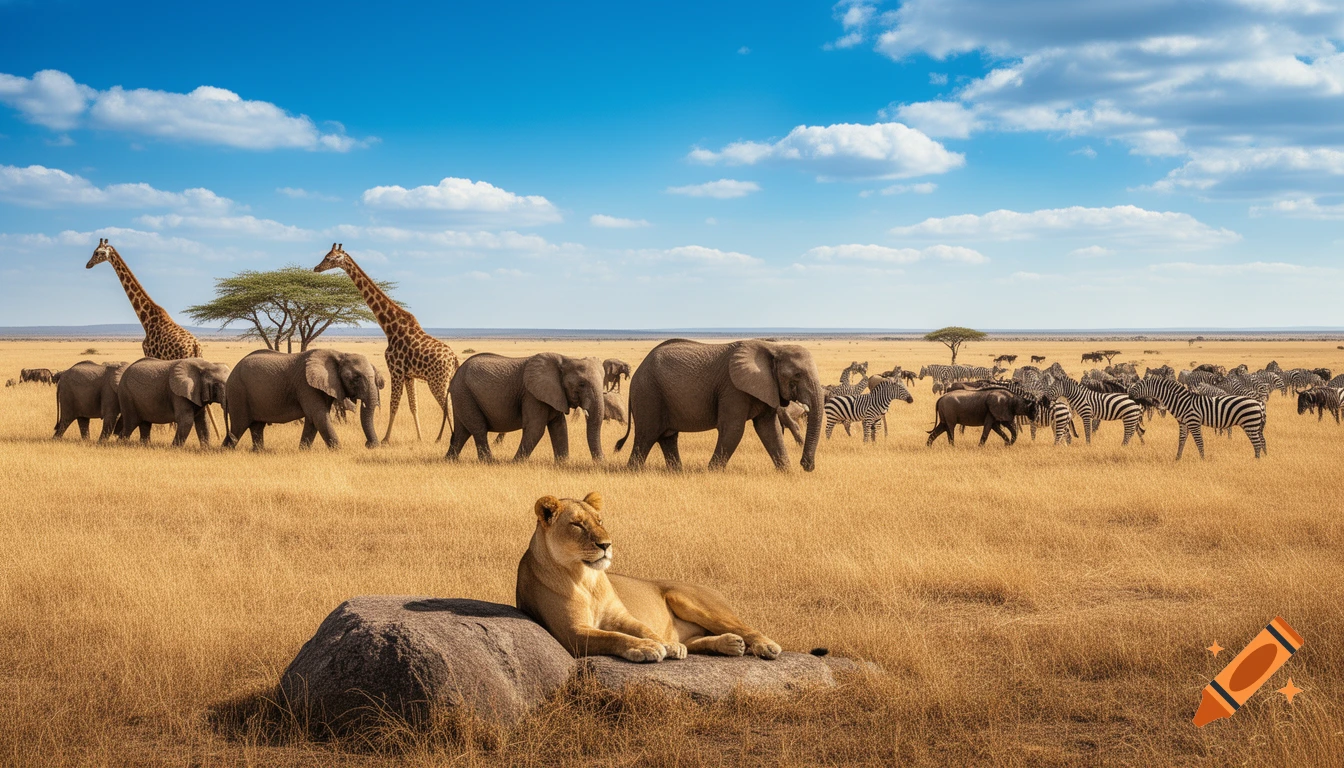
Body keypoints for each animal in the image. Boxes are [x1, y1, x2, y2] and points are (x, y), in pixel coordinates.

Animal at [222, 349, 384, 450]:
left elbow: (313, 420)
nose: (369, 445)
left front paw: (303, 451)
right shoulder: (307, 385)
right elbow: (319, 417)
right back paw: (226, 450)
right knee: (238, 426)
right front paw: (339, 451)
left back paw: (258, 452)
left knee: (256, 427)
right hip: (238, 393)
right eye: (356, 378)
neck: (339, 354)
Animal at [446, 352, 605, 463]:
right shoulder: (531, 395)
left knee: (462, 431)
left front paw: (562, 464)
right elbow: (535, 429)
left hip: (462, 395)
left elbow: (559, 427)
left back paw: (449, 460)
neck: (564, 358)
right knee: (478, 429)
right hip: (464, 393)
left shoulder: (555, 394)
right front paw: (515, 463)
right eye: (581, 384)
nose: (601, 462)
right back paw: (490, 462)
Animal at [516, 492, 782, 663]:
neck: (586, 577)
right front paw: (646, 647)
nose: (606, 544)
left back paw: (765, 646)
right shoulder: (572, 632)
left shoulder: (621, 616)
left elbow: (643, 628)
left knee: (744, 627)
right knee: (699, 640)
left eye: (599, 521)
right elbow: (612, 637)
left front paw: (666, 645)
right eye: (577, 525)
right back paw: (729, 644)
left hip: (694, 602)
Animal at [615, 339, 823, 472]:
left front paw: (787, 472)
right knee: (646, 436)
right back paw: (633, 471)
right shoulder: (733, 389)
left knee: (667, 437)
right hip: (648, 394)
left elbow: (769, 430)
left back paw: (677, 472)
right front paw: (711, 472)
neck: (774, 348)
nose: (806, 465)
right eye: (797, 375)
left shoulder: (768, 387)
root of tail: (638, 371)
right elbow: (733, 430)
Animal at [1128, 376, 1266, 459]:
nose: (1129, 396)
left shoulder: (1193, 422)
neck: (1182, 402)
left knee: (1257, 443)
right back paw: (1263, 458)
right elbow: (1181, 440)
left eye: (1138, 385)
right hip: (1256, 425)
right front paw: (1177, 459)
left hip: (1250, 424)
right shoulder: (1183, 423)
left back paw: (1256, 461)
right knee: (1262, 441)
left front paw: (1202, 459)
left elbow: (1199, 442)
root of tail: (1258, 403)